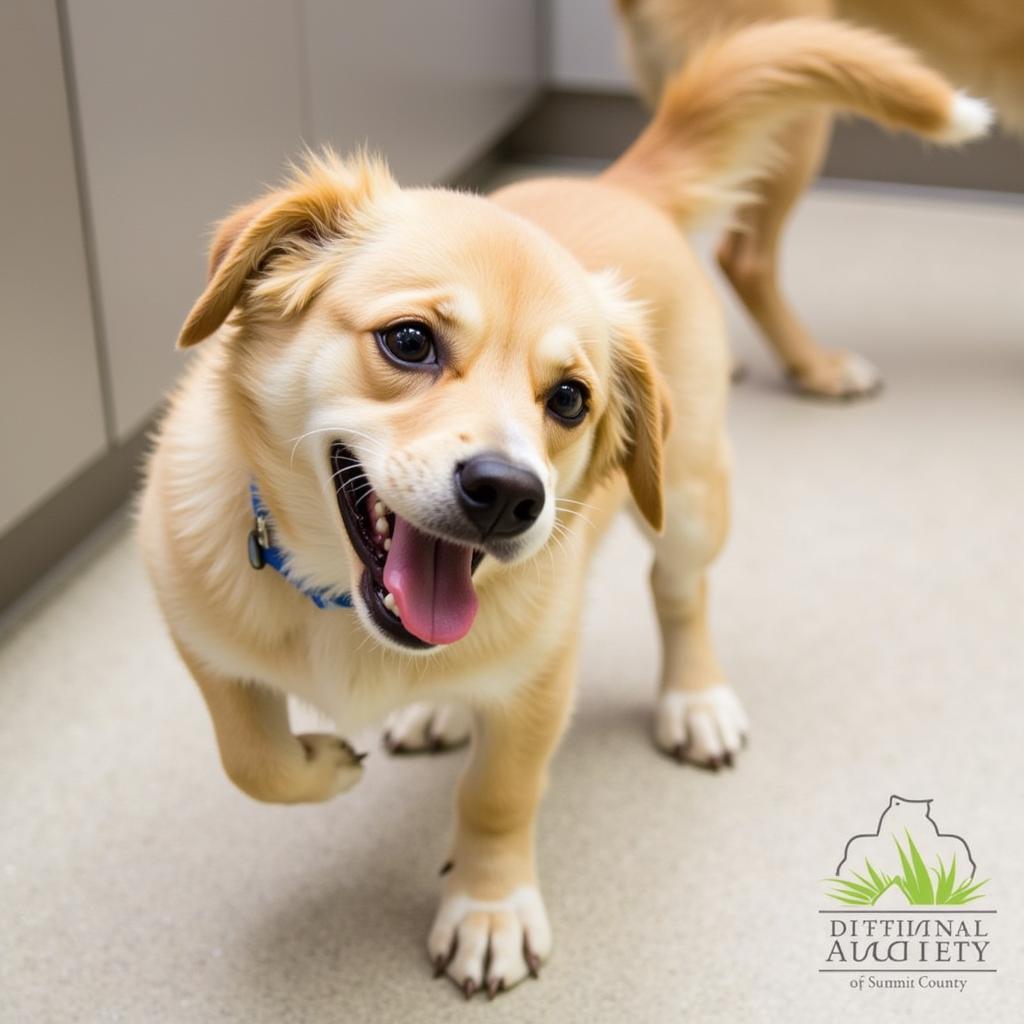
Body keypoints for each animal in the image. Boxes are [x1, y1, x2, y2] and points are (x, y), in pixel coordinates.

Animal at [138, 19, 983, 999]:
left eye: (571, 399)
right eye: (410, 341)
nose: (508, 494)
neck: (344, 611)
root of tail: (621, 184)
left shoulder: (541, 681)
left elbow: (498, 795)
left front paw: (489, 908)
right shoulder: (199, 639)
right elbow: (252, 760)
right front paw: (320, 763)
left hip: (692, 499)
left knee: (680, 596)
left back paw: (694, 698)